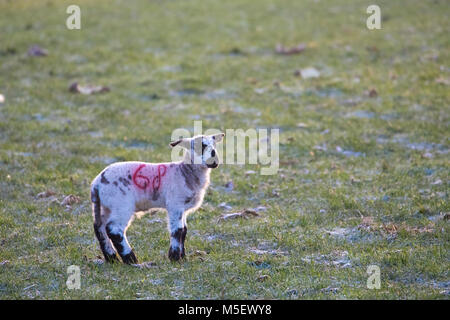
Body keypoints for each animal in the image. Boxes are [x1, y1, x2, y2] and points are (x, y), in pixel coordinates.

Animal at [90, 132, 224, 262]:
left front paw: (183, 257)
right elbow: (178, 230)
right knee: (114, 229)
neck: (185, 172)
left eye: (214, 146)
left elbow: (184, 231)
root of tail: (97, 183)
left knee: (100, 228)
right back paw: (130, 259)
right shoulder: (175, 204)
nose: (214, 162)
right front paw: (175, 257)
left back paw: (111, 258)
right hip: (121, 204)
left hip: (106, 206)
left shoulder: (183, 208)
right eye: (199, 146)